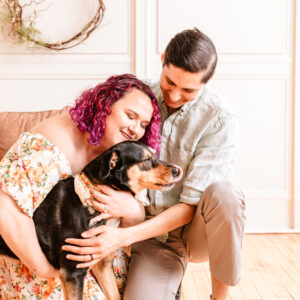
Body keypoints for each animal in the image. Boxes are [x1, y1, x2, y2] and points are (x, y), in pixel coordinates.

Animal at [0, 141, 183, 300]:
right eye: (146, 160)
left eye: (155, 155)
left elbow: (115, 296)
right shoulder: (73, 273)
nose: (176, 171)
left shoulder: (103, 264)